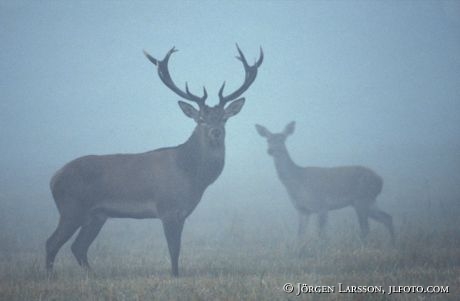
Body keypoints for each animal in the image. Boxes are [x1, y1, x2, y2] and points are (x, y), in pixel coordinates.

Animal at [47, 43, 262, 276]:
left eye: (224, 118)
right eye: (201, 119)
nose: (216, 132)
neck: (191, 175)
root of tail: (53, 179)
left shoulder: (181, 213)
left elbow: (176, 248)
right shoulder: (167, 208)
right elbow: (174, 249)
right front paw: (175, 275)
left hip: (96, 215)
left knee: (78, 247)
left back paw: (92, 275)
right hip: (71, 208)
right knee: (52, 242)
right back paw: (51, 276)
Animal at [255, 120, 396, 245]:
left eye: (282, 139)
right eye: (268, 140)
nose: (270, 150)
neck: (297, 181)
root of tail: (380, 180)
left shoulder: (322, 205)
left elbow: (321, 235)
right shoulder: (302, 210)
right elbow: (300, 235)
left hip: (362, 199)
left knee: (366, 228)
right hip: (369, 201)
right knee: (387, 218)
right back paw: (392, 244)